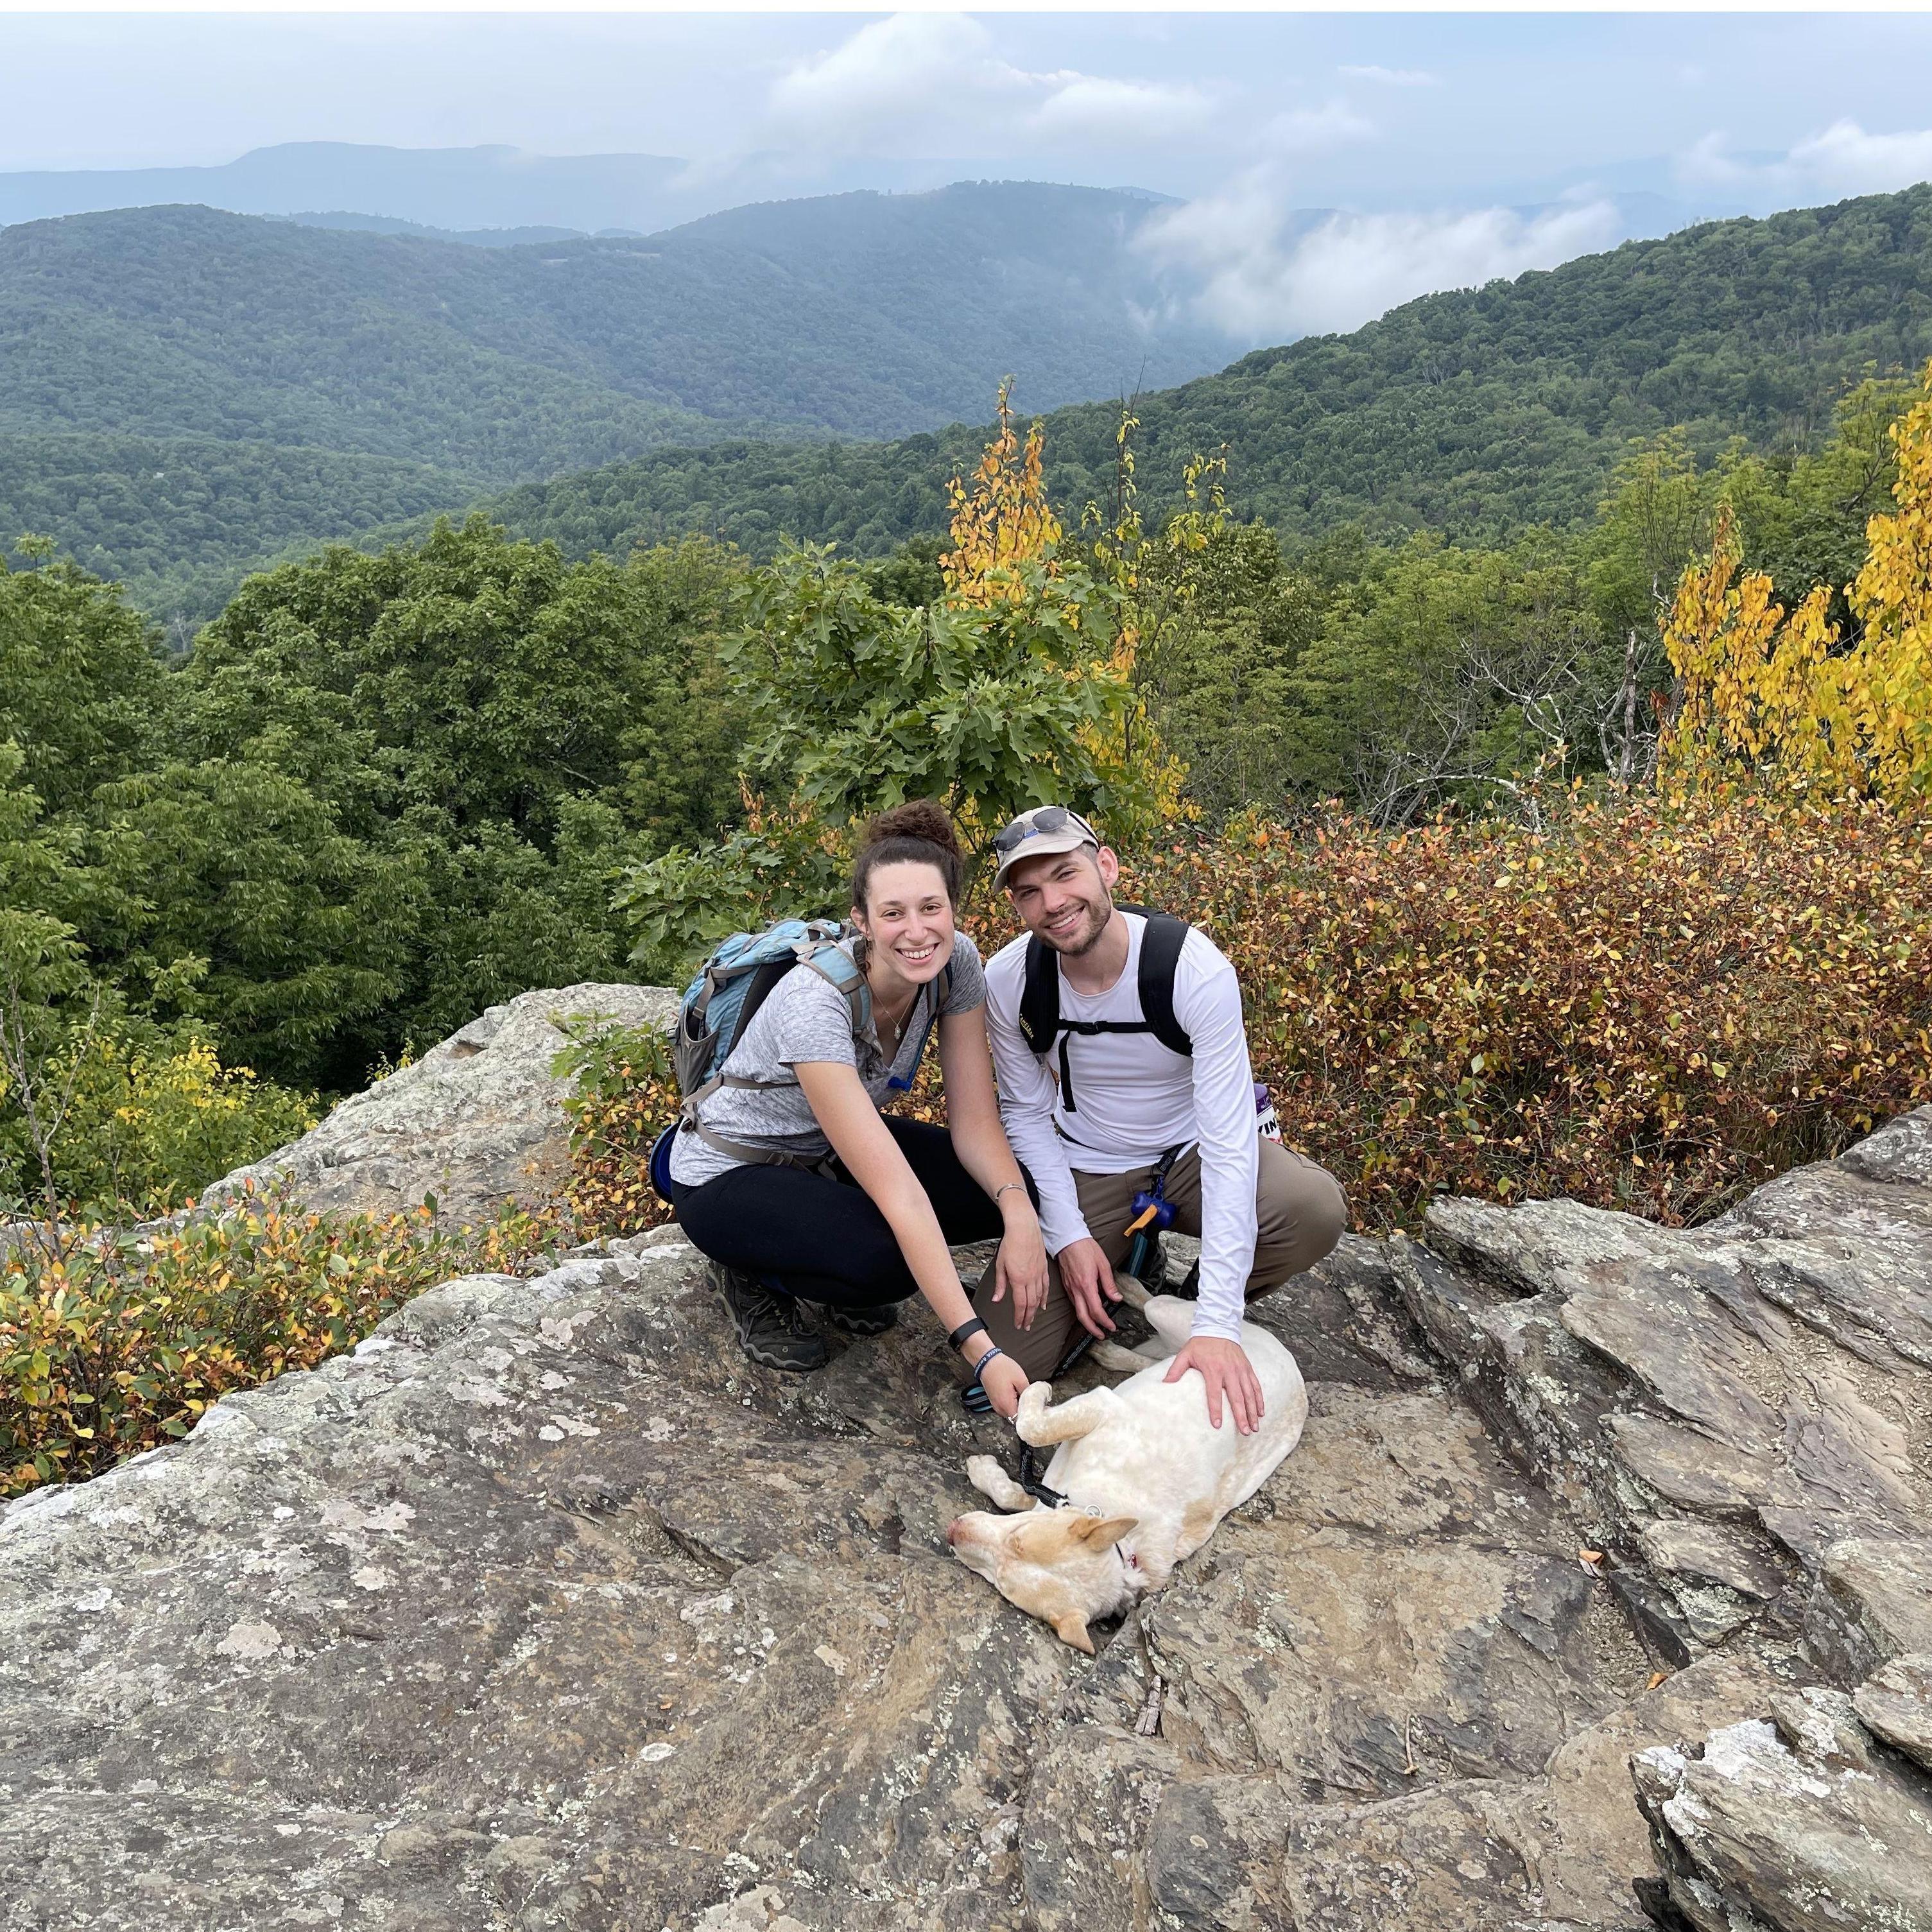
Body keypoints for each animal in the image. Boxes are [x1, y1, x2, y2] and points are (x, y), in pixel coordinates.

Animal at [942, 1282, 1306, 1646]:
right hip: (1179, 1329)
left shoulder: (1095, 1420)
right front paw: (1036, 1393)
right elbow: (1030, 1444)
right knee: (1153, 1319)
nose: (953, 1530)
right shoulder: (1102, 1408)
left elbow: (1029, 1434)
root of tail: (1297, 1373)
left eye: (1001, 1580)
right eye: (1018, 1535)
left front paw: (985, 1464)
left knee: (1153, 1315)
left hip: (1170, 1318)